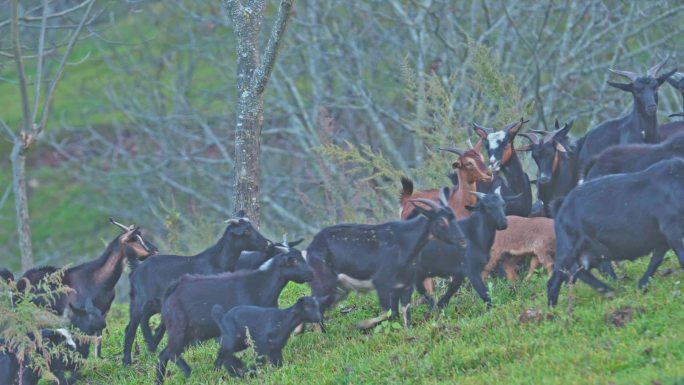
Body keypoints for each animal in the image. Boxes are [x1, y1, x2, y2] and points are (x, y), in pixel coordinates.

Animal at [121, 214, 272, 364]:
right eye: (246, 231)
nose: (267, 243)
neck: (216, 262)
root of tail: (137, 267)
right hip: (140, 300)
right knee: (131, 329)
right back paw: (127, 361)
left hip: (151, 303)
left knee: (142, 321)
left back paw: (150, 348)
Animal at [154, 248, 310, 382]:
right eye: (295, 261)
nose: (311, 274)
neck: (261, 285)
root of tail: (173, 288)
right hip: (179, 329)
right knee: (171, 353)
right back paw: (188, 373)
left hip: (190, 332)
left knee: (164, 354)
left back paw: (160, 380)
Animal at [308, 188, 464, 328]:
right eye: (441, 221)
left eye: (453, 217)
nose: (462, 240)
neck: (404, 242)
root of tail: (311, 246)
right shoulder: (382, 283)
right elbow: (389, 313)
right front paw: (362, 325)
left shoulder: (405, 285)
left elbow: (404, 313)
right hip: (323, 283)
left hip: (339, 289)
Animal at [548, 157, 684, 306]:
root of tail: (561, 206)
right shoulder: (674, 231)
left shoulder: (664, 238)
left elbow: (656, 259)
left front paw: (641, 285)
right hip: (568, 248)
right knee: (556, 279)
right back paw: (553, 309)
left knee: (580, 272)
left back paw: (609, 289)